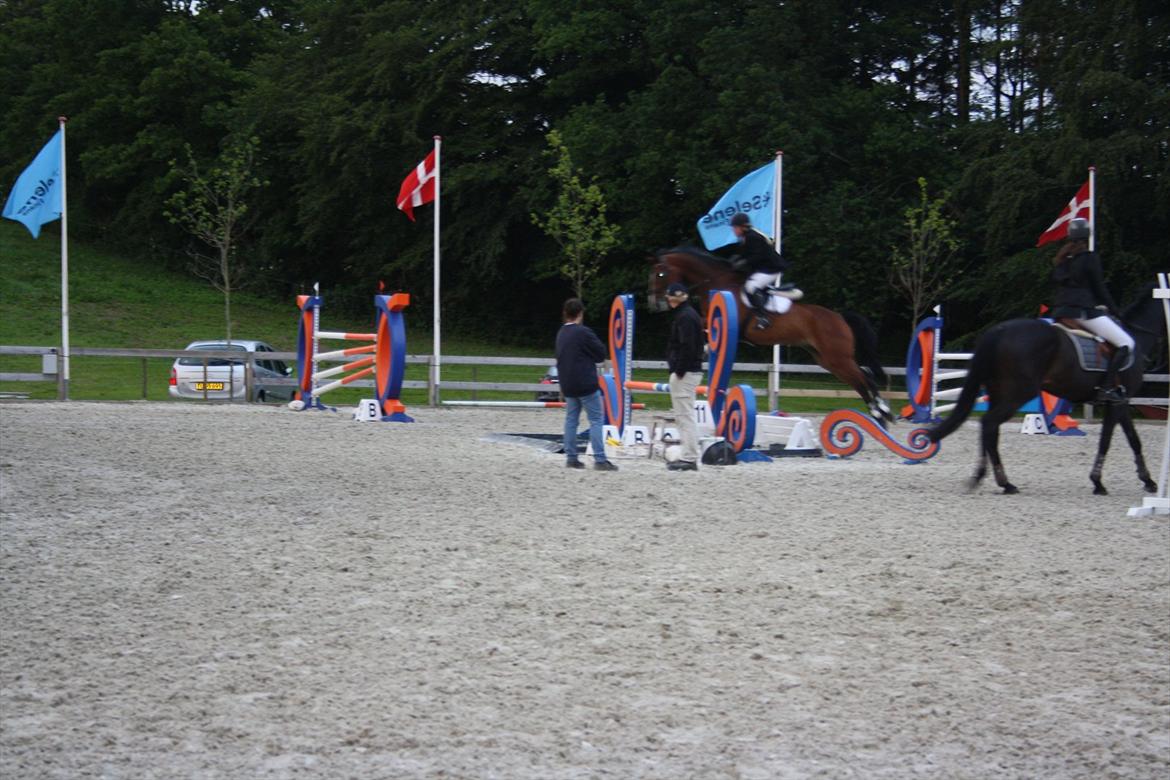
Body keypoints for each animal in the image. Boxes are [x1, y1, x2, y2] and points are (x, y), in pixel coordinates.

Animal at [650, 249, 893, 428]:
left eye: (660, 274)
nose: (655, 304)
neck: (715, 282)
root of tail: (840, 317)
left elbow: (703, 328)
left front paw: (705, 348)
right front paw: (705, 349)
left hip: (837, 358)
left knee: (864, 378)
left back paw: (882, 412)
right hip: (826, 359)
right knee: (861, 379)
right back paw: (880, 416)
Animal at [926, 290, 1165, 498]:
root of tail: (999, 330)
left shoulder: (1120, 401)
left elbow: (1134, 440)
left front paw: (1148, 481)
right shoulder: (1116, 403)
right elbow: (1107, 440)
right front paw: (1099, 482)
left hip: (998, 392)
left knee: (988, 429)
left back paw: (986, 478)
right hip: (1017, 393)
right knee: (989, 424)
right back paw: (1002, 482)